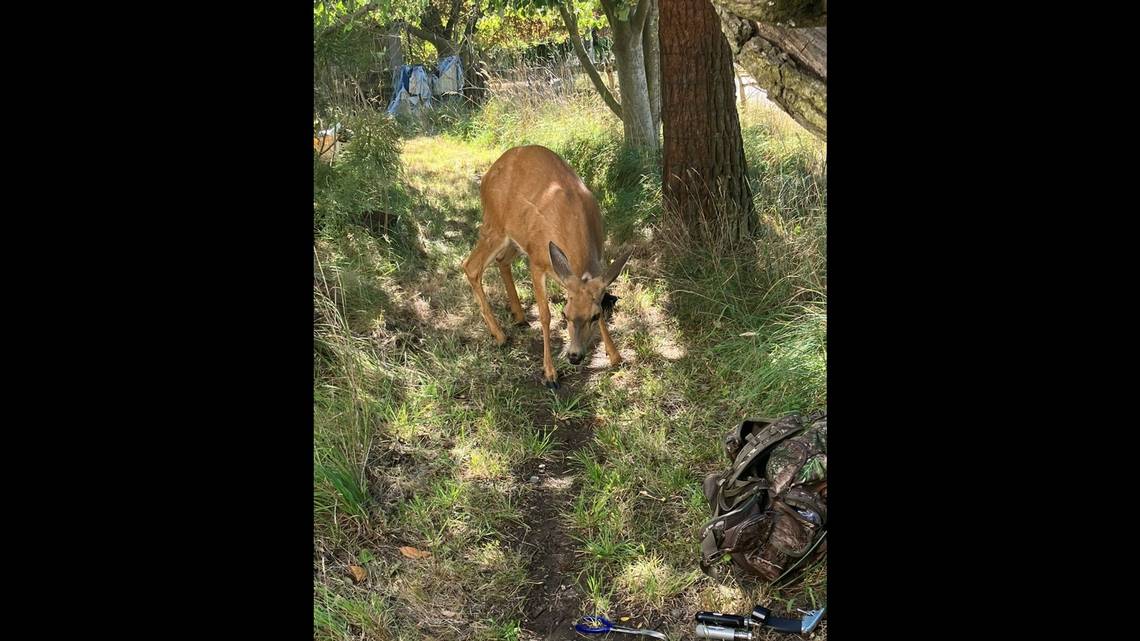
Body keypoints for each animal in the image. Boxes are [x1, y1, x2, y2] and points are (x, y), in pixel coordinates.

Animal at [460, 144, 633, 387]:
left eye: (594, 316)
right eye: (565, 314)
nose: (574, 356)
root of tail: (487, 175)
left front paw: (616, 356)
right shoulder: (537, 260)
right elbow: (544, 315)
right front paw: (550, 374)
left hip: (514, 237)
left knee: (502, 261)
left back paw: (520, 317)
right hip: (494, 225)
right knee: (471, 266)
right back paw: (500, 336)